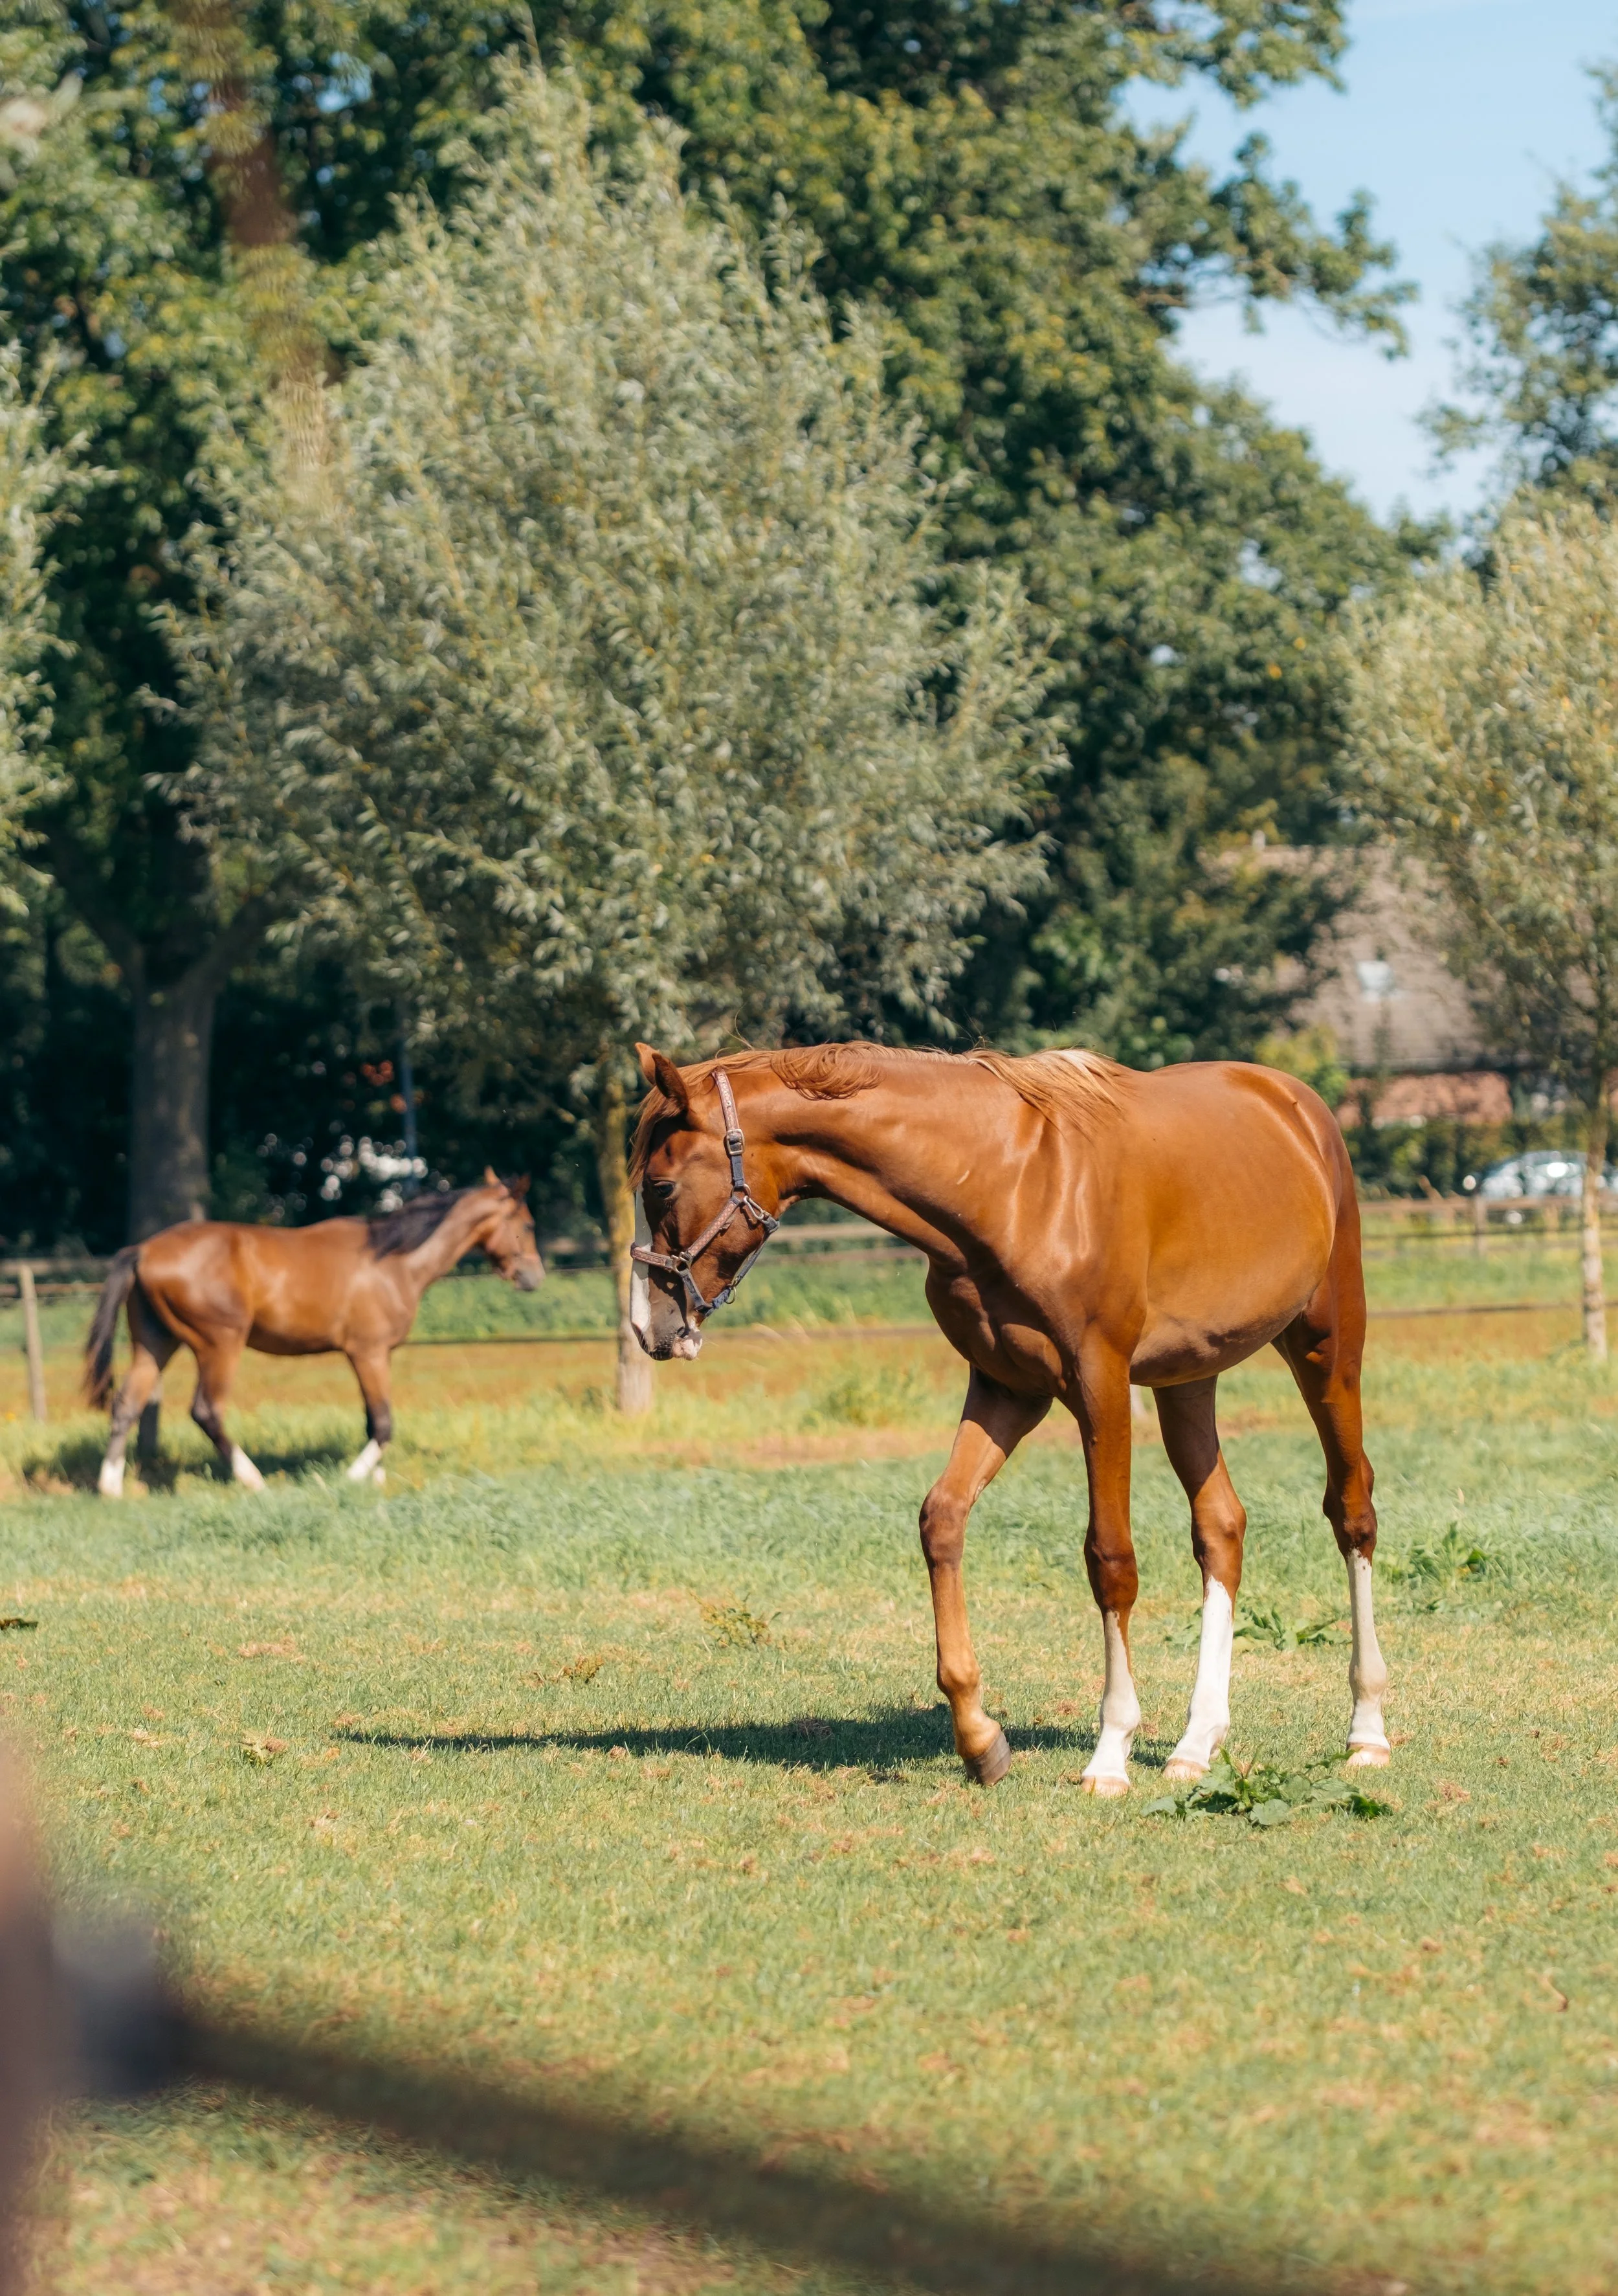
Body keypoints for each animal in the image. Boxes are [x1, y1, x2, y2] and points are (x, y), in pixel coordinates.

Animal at [83, 1173, 544, 1498]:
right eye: (526, 1224)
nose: (535, 1277)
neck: (394, 1262)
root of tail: (144, 1250)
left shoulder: (372, 1357)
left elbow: (372, 1420)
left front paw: (377, 1482)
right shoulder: (369, 1352)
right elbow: (383, 1423)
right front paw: (351, 1479)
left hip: (155, 1343)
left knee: (126, 1404)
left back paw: (112, 1488)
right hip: (219, 1345)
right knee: (206, 1411)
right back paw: (253, 1481)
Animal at [628, 1041, 1388, 1796]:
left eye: (660, 1187)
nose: (649, 1328)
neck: (1011, 1186)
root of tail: (1295, 1102)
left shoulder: (1100, 1386)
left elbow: (1110, 1559)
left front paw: (1110, 1751)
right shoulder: (1007, 1388)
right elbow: (941, 1518)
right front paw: (979, 1739)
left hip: (1327, 1348)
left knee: (1351, 1510)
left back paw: (1366, 1731)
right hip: (1186, 1380)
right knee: (1221, 1527)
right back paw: (1195, 1744)